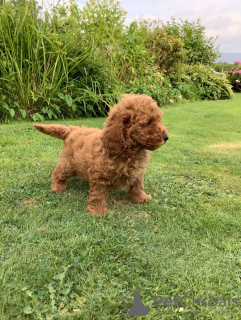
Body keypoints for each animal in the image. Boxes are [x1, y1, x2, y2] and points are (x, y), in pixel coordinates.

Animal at [34, 94, 169, 216]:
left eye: (158, 120)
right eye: (148, 122)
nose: (166, 137)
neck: (129, 151)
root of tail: (72, 130)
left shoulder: (137, 173)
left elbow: (138, 185)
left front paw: (140, 198)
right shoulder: (100, 176)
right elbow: (98, 194)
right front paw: (97, 211)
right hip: (68, 164)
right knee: (58, 173)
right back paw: (57, 187)